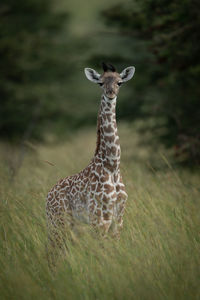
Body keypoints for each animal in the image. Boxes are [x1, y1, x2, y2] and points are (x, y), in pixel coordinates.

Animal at [46, 62, 135, 240]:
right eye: (100, 83)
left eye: (120, 82)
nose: (110, 93)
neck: (112, 167)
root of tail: (47, 197)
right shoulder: (99, 218)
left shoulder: (118, 219)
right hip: (58, 222)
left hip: (70, 224)